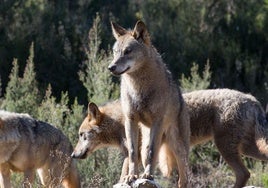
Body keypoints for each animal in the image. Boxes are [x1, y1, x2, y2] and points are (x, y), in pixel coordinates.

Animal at [72, 89, 268, 188]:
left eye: (81, 135)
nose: (73, 155)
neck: (119, 121)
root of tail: (253, 100)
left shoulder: (136, 154)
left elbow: (124, 175)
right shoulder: (133, 154)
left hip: (226, 147)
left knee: (243, 173)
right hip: (245, 149)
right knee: (247, 172)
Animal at [107, 19, 191, 187]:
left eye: (127, 51)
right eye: (115, 52)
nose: (111, 67)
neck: (139, 88)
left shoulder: (157, 121)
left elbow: (153, 152)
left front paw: (147, 176)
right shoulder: (130, 120)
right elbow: (132, 153)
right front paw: (132, 176)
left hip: (178, 148)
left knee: (183, 177)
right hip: (147, 138)